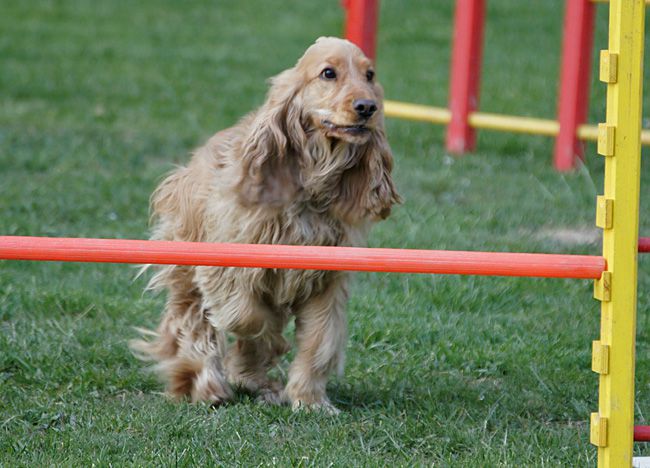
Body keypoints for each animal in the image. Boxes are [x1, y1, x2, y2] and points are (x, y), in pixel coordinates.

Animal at [132, 37, 400, 414]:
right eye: (328, 73)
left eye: (370, 74)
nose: (367, 107)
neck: (309, 185)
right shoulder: (227, 268)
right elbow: (251, 317)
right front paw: (266, 351)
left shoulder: (327, 280)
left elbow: (319, 341)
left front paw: (310, 401)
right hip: (187, 268)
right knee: (191, 323)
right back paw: (204, 386)